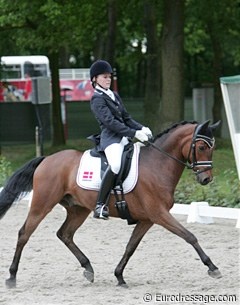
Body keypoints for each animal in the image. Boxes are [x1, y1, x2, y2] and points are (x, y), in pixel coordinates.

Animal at [0, 120, 221, 286]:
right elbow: (189, 236)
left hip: (78, 209)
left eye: (214, 148)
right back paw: (12, 276)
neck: (157, 164)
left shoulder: (148, 219)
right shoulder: (159, 214)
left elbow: (131, 246)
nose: (206, 179)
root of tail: (46, 159)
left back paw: (88, 269)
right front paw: (213, 267)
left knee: (65, 234)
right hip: (42, 204)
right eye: (202, 147)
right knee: (24, 234)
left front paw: (119, 276)